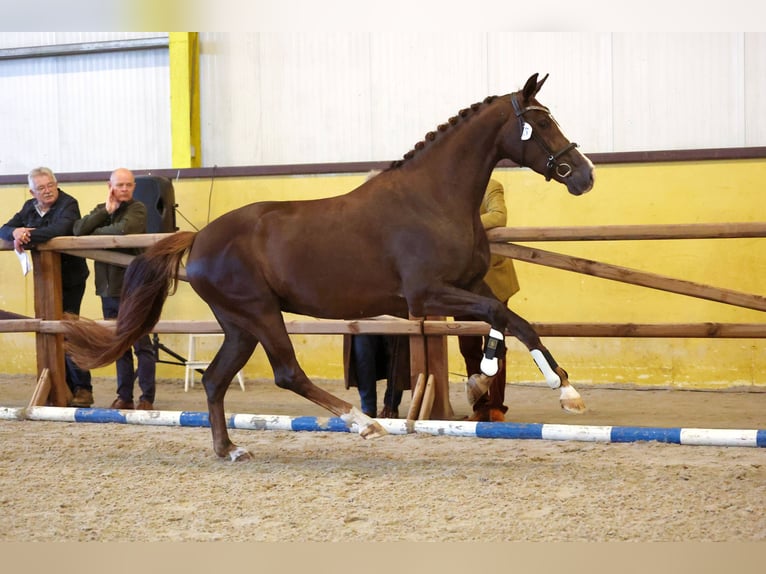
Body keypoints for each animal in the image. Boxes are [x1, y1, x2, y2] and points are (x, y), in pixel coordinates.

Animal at [62, 73, 595, 461]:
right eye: (541, 124)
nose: (585, 176)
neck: (434, 199)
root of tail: (200, 238)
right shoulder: (426, 294)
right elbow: (501, 315)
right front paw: (557, 389)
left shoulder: (468, 283)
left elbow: (507, 317)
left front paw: (504, 378)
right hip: (259, 315)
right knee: (286, 374)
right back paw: (364, 423)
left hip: (239, 326)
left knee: (215, 380)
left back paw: (229, 449)